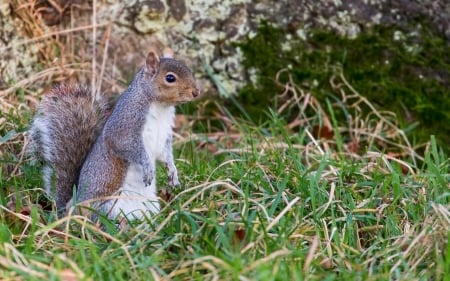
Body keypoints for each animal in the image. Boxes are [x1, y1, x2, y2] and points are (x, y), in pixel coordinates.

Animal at [30, 48, 200, 219]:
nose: (196, 92)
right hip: (106, 206)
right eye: (170, 78)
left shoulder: (164, 134)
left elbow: (165, 154)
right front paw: (147, 165)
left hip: (148, 205)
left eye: (189, 70)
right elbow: (125, 145)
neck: (161, 107)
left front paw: (173, 171)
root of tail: (71, 207)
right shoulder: (125, 124)